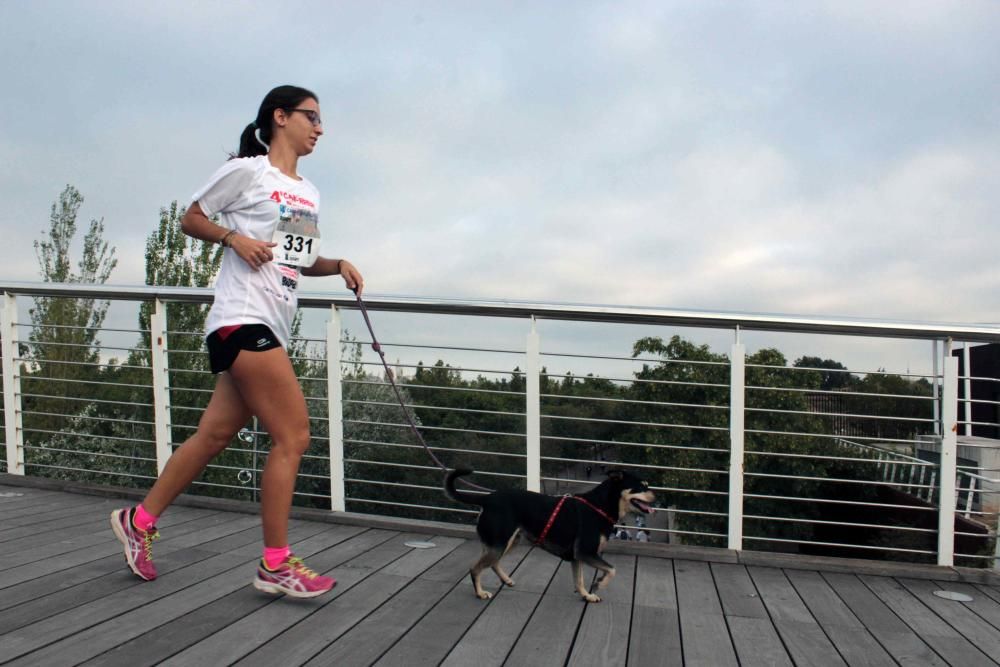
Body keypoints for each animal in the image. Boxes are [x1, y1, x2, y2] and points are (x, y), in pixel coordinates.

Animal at [446, 468, 656, 604]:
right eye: (641, 486)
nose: (657, 498)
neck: (599, 506)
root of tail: (487, 499)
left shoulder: (577, 556)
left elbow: (579, 580)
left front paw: (586, 595)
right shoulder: (586, 552)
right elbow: (612, 570)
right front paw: (598, 584)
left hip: (510, 541)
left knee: (493, 562)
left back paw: (506, 580)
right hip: (499, 542)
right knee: (475, 568)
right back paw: (480, 593)